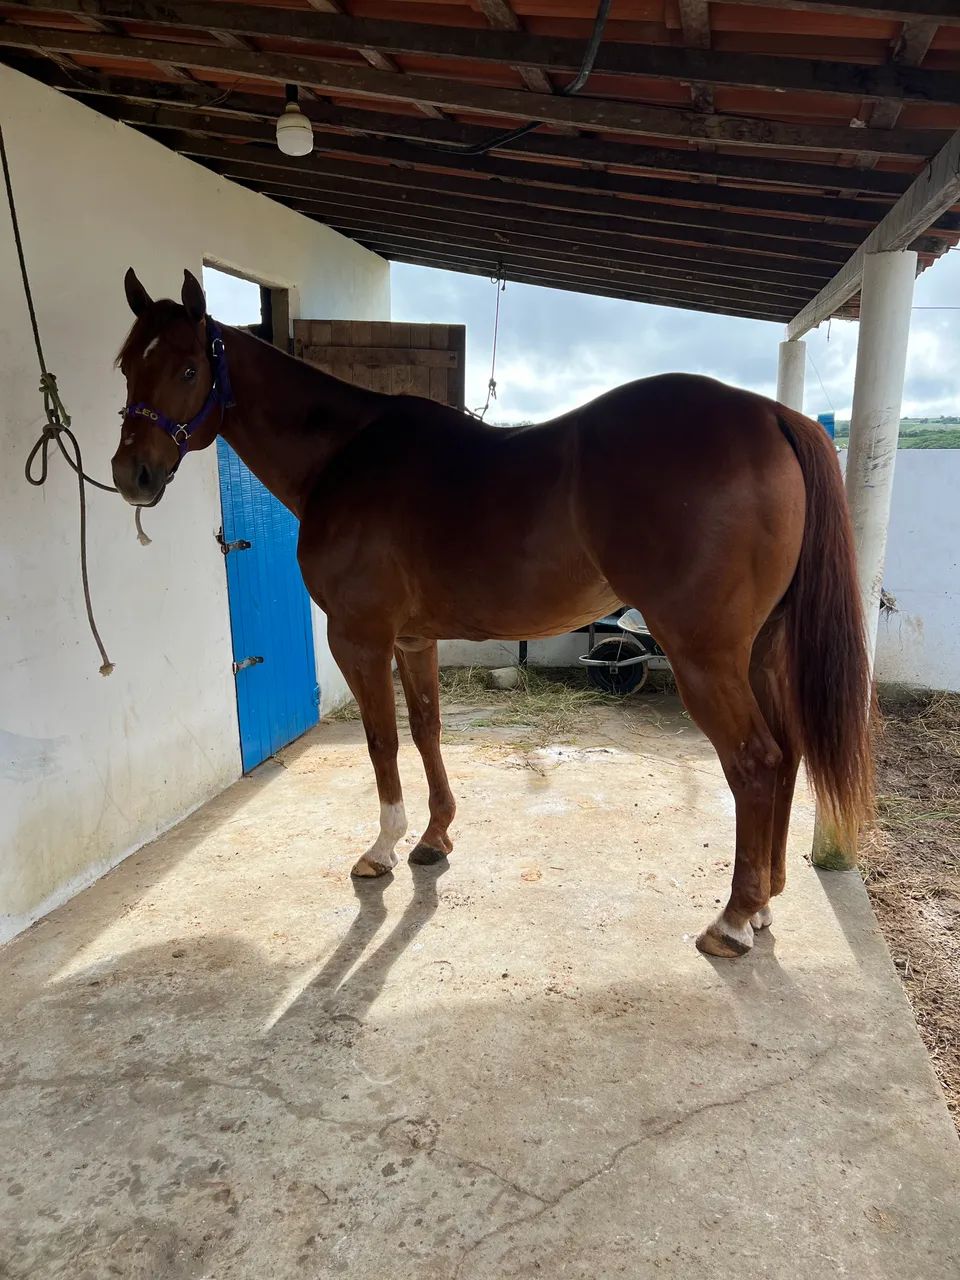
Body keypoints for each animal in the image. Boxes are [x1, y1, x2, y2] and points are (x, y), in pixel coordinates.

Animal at [111, 268, 872, 959]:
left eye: (186, 366)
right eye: (125, 363)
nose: (130, 475)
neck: (345, 456)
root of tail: (771, 415)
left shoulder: (359, 637)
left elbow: (381, 741)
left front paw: (383, 848)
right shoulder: (413, 640)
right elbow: (426, 730)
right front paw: (433, 836)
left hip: (703, 655)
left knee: (754, 762)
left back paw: (734, 919)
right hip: (759, 650)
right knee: (788, 754)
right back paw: (766, 901)